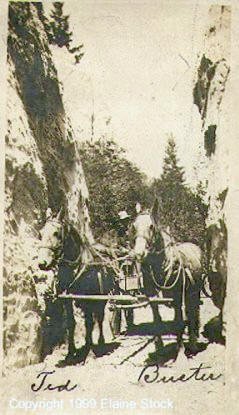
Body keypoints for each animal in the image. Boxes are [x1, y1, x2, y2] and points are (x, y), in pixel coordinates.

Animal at [37, 213, 118, 360]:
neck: (75, 268)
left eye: (56, 233)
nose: (42, 263)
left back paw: (100, 343)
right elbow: (71, 323)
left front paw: (90, 350)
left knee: (99, 318)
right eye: (41, 233)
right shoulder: (67, 299)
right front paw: (71, 352)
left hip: (100, 299)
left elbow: (90, 322)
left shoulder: (90, 298)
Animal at [130, 201, 203, 354]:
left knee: (192, 312)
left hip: (193, 292)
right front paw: (159, 347)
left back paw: (193, 342)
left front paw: (180, 350)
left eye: (151, 226)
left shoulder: (177, 296)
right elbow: (157, 320)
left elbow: (179, 321)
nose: (139, 253)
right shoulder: (152, 297)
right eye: (133, 226)